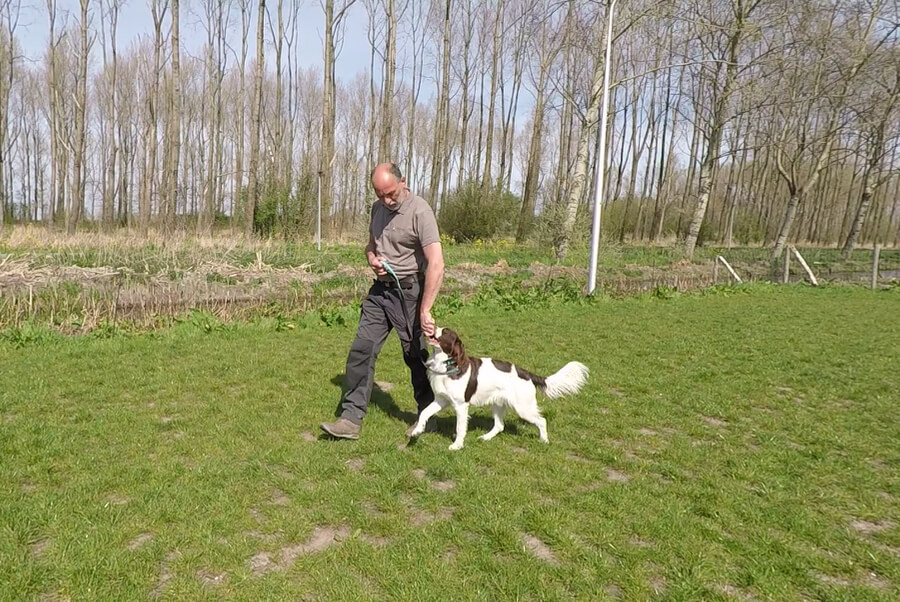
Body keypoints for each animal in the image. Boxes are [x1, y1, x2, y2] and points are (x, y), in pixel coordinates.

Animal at [410, 326, 592, 448]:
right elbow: (424, 412)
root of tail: (527, 373)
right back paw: (486, 437)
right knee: (500, 425)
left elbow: (460, 427)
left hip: (523, 407)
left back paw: (544, 440)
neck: (448, 364)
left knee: (541, 420)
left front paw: (457, 445)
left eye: (446, 332)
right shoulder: (441, 400)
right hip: (497, 403)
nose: (431, 326)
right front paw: (417, 431)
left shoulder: (461, 406)